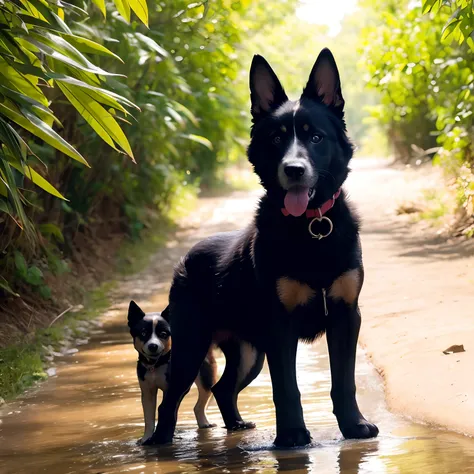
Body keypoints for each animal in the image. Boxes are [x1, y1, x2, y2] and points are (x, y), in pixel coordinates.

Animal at [128, 300, 217, 444]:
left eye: (163, 334)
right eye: (143, 333)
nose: (153, 346)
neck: (156, 365)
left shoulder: (171, 389)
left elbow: (166, 408)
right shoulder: (147, 392)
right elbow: (148, 418)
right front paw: (146, 438)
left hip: (206, 378)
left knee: (201, 402)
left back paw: (204, 422)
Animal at [146, 48, 380, 448]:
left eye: (315, 137)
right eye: (276, 139)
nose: (294, 169)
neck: (310, 228)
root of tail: (186, 259)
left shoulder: (346, 315)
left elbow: (343, 381)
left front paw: (353, 425)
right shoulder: (279, 326)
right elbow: (286, 386)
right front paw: (292, 434)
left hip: (247, 353)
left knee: (223, 389)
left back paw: (236, 425)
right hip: (192, 347)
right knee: (170, 401)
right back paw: (161, 443)